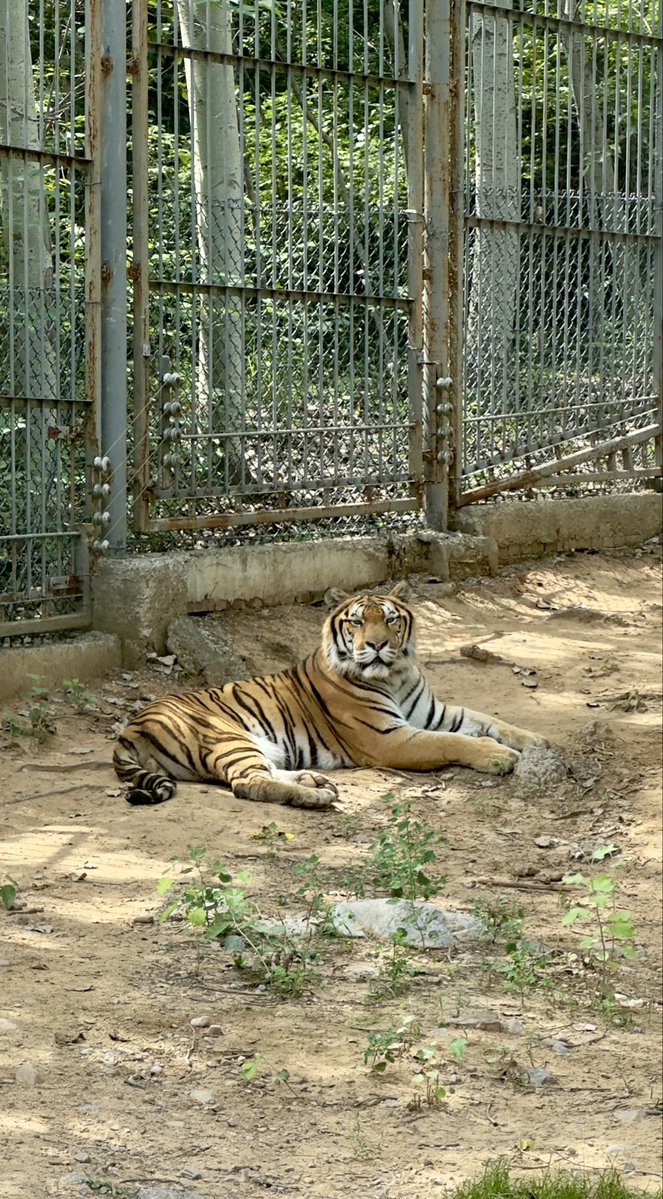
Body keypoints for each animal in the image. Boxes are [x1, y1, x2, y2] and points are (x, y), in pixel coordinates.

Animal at [113, 583, 546, 809]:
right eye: (357, 621)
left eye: (391, 619)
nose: (376, 645)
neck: (395, 675)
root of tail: (130, 726)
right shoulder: (389, 739)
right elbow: (450, 742)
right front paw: (498, 756)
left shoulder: (434, 713)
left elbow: (489, 720)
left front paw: (535, 742)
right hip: (227, 736)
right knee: (247, 783)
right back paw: (315, 796)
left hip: (255, 745)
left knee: (263, 772)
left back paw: (314, 780)